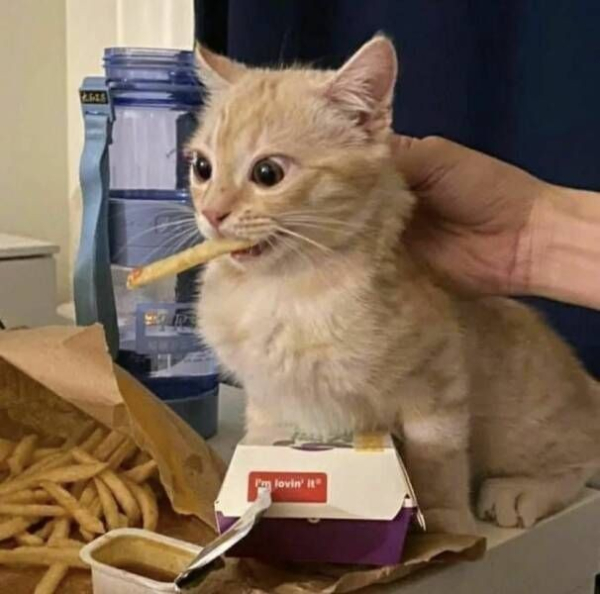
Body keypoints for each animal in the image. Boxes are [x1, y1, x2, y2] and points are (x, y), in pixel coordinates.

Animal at [189, 34, 600, 528]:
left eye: (268, 173)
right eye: (202, 168)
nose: (212, 212)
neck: (283, 289)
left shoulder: (439, 378)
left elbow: (437, 457)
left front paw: (444, 519)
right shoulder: (269, 397)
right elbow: (264, 443)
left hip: (525, 419)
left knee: (580, 456)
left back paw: (521, 490)